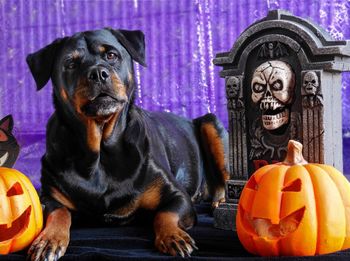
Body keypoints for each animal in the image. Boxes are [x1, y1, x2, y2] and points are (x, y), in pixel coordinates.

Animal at [26, 28, 228, 260]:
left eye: (111, 55)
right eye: (71, 63)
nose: (98, 73)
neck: (101, 153)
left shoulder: (177, 195)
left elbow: (165, 213)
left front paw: (172, 236)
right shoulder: (49, 196)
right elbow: (58, 212)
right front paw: (48, 240)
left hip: (211, 124)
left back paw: (221, 201)